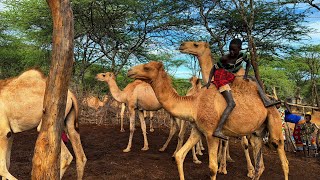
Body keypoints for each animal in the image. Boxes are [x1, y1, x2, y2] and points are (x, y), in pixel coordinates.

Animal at [127, 61, 290, 180]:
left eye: (147, 67)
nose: (130, 71)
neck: (194, 104)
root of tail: (272, 105)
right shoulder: (198, 131)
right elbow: (179, 156)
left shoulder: (212, 134)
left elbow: (212, 168)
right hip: (257, 133)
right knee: (260, 166)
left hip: (275, 125)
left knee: (284, 161)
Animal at [179, 40, 254, 176]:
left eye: (196, 44)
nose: (182, 45)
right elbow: (223, 141)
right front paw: (221, 163)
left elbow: (230, 142)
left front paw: (222, 168)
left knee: (245, 141)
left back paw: (250, 170)